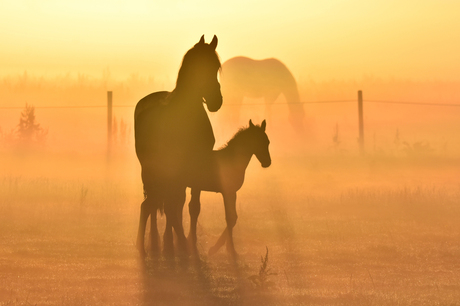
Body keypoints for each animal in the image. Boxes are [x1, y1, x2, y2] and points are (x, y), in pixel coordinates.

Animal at [134, 35, 222, 256]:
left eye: (216, 67)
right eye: (199, 67)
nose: (216, 101)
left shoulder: (197, 168)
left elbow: (191, 206)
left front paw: (188, 242)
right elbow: (172, 205)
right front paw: (179, 242)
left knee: (165, 201)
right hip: (151, 171)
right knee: (152, 202)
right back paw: (150, 241)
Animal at [183, 119, 270, 258]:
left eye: (267, 142)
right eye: (256, 141)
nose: (267, 162)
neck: (231, 159)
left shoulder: (232, 192)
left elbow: (233, 217)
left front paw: (228, 248)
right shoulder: (228, 192)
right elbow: (230, 217)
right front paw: (223, 249)